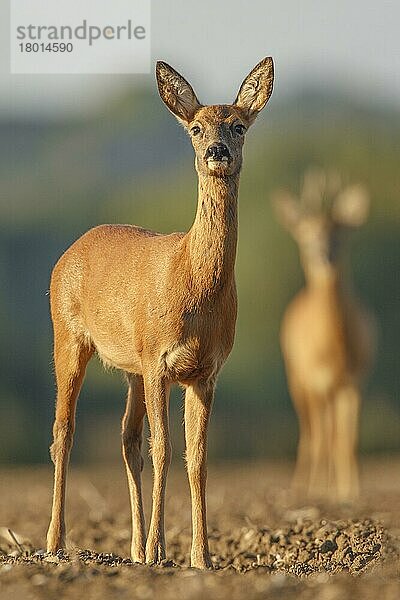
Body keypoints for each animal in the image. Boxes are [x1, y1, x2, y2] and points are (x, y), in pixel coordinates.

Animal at [45, 56, 274, 568]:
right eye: (195, 128)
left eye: (238, 125)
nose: (216, 151)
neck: (192, 283)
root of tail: (68, 251)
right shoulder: (157, 360)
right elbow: (165, 450)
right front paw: (162, 552)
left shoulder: (204, 372)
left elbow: (197, 457)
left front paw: (200, 557)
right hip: (69, 337)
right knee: (64, 432)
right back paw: (56, 545)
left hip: (128, 368)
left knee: (127, 440)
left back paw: (133, 549)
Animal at [274, 171, 374, 504]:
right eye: (304, 234)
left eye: (340, 232)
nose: (322, 254)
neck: (335, 345)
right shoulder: (318, 380)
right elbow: (323, 437)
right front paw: (322, 491)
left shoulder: (355, 380)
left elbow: (348, 438)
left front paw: (350, 492)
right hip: (297, 378)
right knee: (311, 432)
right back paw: (303, 487)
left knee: (330, 432)